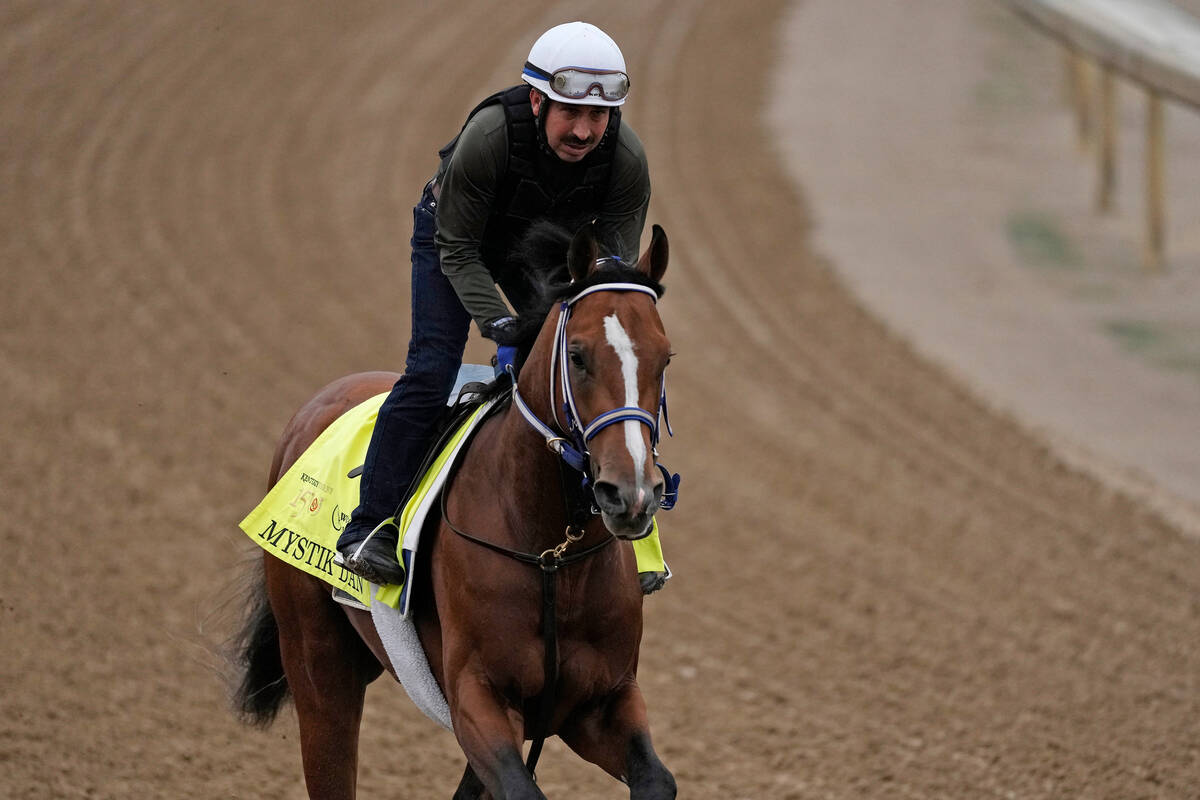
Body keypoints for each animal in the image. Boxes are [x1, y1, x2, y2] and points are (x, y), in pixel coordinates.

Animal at [232, 222, 678, 800]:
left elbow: (656, 779)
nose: (631, 495)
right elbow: (520, 788)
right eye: (578, 356)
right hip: (317, 658)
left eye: (664, 359)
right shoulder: (476, 696)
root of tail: (318, 405)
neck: (551, 552)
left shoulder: (600, 701)